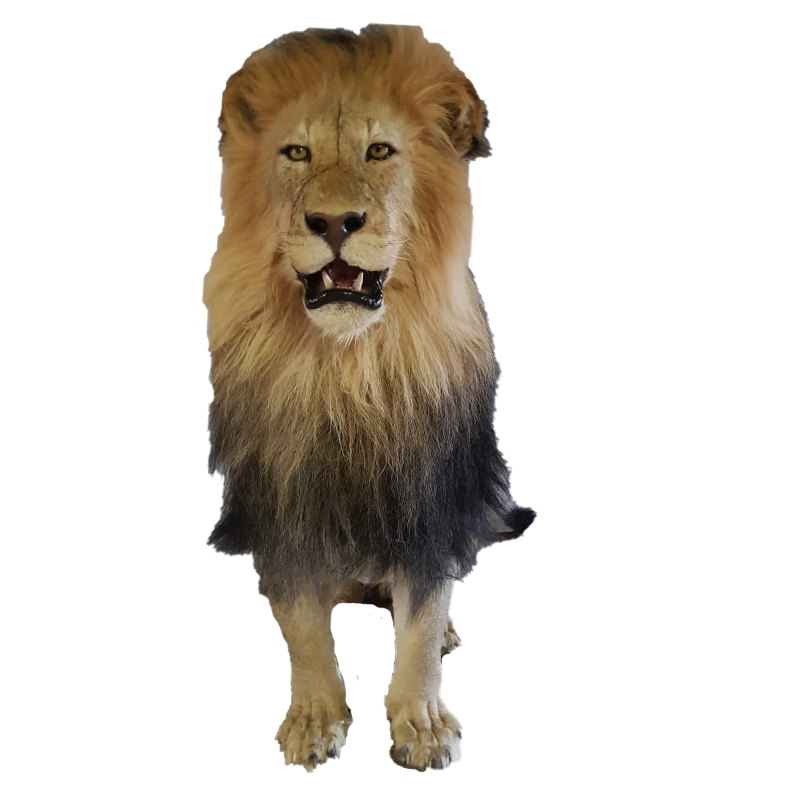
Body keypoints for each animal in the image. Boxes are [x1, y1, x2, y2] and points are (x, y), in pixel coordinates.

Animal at [205, 24, 536, 773]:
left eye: (379, 151)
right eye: (296, 153)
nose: (333, 221)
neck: (347, 372)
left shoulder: (429, 494)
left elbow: (421, 622)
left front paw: (424, 724)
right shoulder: (283, 504)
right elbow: (298, 620)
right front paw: (314, 716)